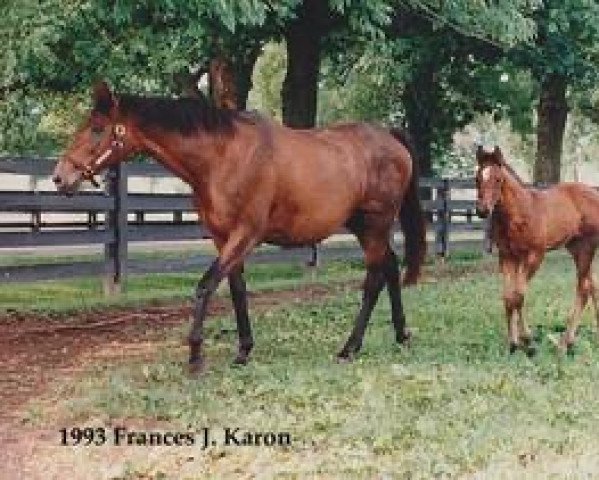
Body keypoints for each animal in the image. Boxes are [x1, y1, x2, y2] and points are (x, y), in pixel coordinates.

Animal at [478, 145, 599, 352]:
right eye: (477, 178)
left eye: (498, 179)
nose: (482, 210)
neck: (518, 214)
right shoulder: (507, 256)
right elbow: (508, 297)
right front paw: (513, 343)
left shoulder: (534, 256)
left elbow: (518, 296)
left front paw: (527, 340)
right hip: (576, 249)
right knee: (591, 287)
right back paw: (571, 340)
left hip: (587, 248)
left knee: (583, 288)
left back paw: (564, 343)